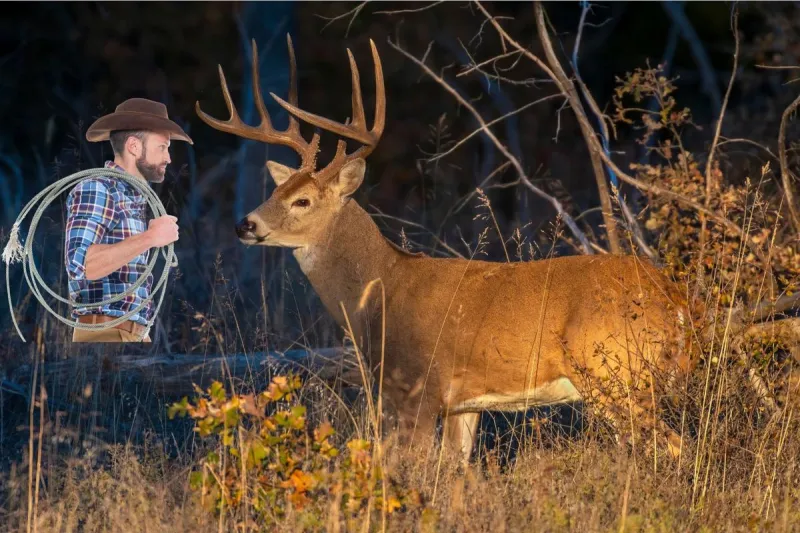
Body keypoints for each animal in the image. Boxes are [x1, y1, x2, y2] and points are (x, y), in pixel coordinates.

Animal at [195, 35, 696, 464]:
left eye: (303, 201)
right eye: (277, 191)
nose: (245, 224)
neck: (382, 290)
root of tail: (675, 299)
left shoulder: (418, 389)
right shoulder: (464, 403)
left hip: (616, 376)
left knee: (675, 447)